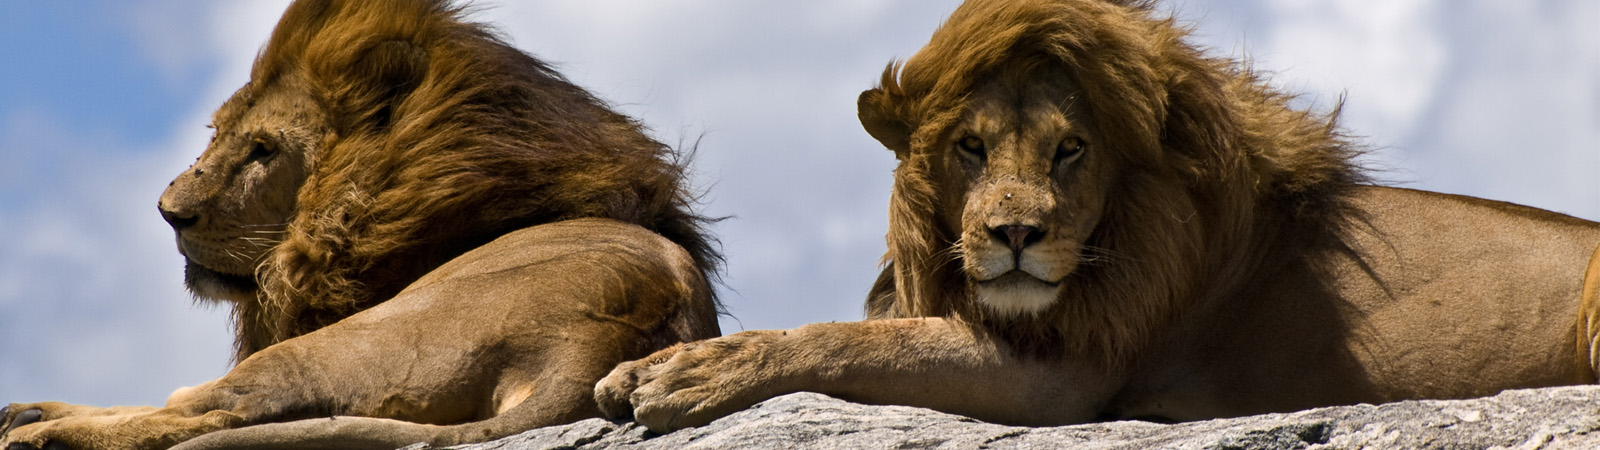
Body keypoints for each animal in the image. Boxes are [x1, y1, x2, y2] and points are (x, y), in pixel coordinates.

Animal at [1, 0, 720, 448]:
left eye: (263, 150)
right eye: (216, 133)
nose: (168, 213)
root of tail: (590, 350)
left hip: (341, 345)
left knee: (208, 410)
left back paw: (41, 433)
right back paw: (29, 414)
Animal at [594, 0, 1600, 432]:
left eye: (1072, 148)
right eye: (970, 146)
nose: (1014, 237)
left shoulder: (1067, 374)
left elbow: (846, 340)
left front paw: (682, 374)